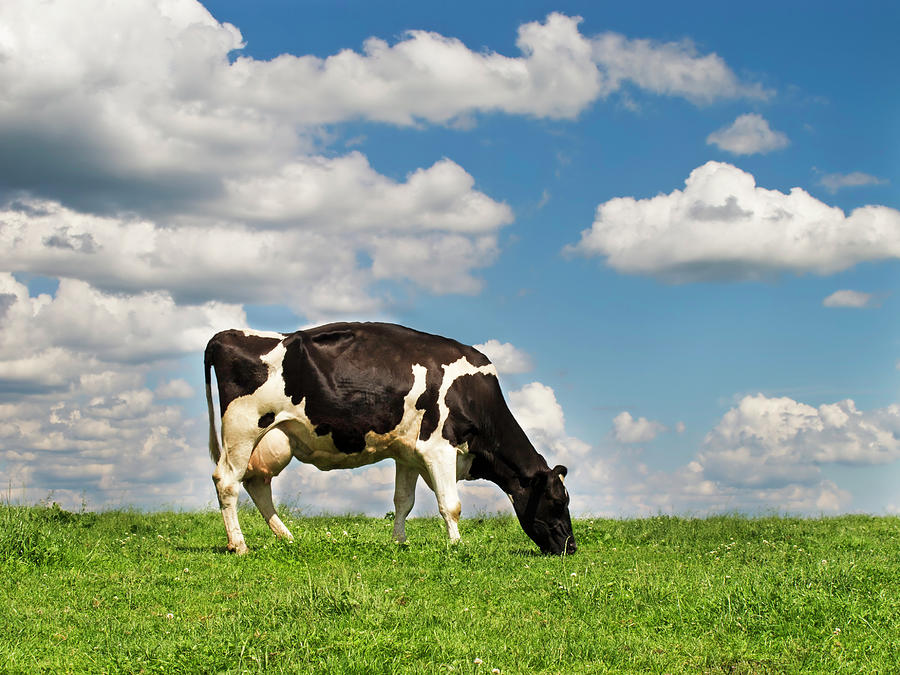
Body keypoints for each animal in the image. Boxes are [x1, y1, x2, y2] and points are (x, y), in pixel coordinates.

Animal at [204, 322, 576, 555]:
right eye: (558, 501)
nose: (571, 548)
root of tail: (225, 335)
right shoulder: (439, 447)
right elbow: (451, 504)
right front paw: (457, 545)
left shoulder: (408, 453)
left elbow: (403, 502)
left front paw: (400, 542)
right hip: (242, 427)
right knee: (227, 481)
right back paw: (239, 545)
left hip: (272, 440)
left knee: (256, 483)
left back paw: (287, 536)